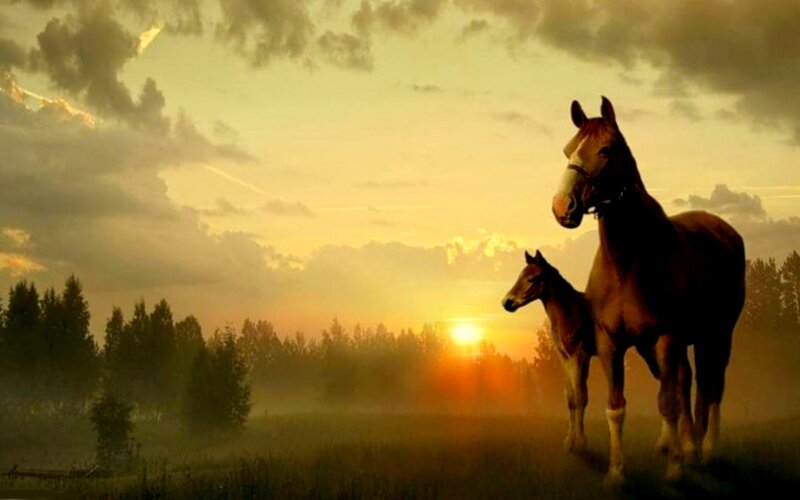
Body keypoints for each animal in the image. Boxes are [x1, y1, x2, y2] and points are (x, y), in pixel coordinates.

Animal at [502, 250, 595, 453]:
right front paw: (569, 441)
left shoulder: (580, 355)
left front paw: (581, 442)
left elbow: (581, 396)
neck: (570, 313)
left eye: (532, 278)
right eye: (520, 275)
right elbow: (570, 397)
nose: (507, 303)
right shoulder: (565, 357)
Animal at [551, 97, 745, 481]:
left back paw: (707, 448)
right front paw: (616, 471)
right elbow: (617, 407)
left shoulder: (667, 338)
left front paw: (675, 471)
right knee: (686, 383)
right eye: (568, 149)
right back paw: (681, 445)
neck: (627, 263)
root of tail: (725, 231)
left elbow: (668, 403)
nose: (562, 206)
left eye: (606, 150)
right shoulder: (611, 344)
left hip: (717, 334)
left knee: (712, 385)